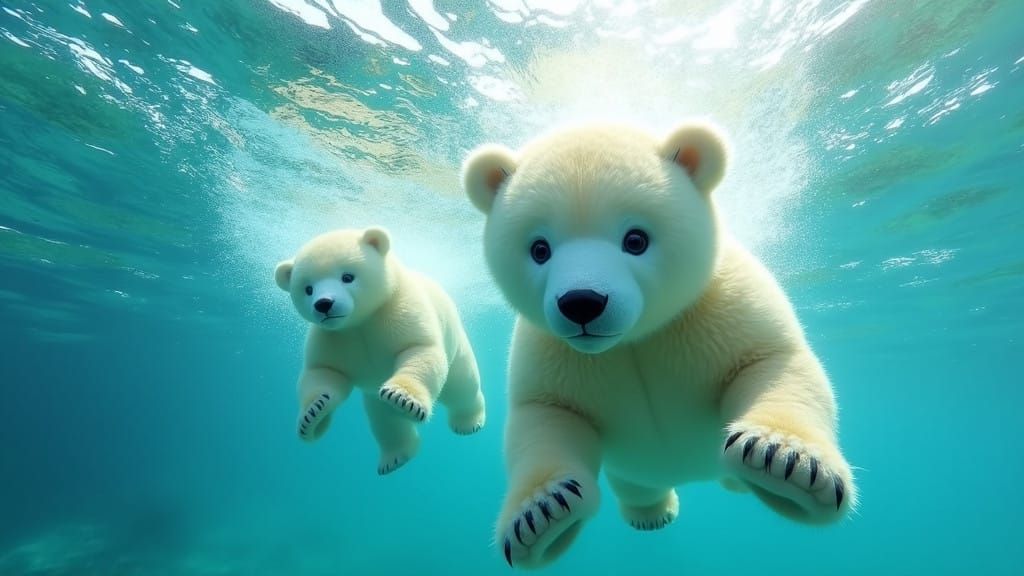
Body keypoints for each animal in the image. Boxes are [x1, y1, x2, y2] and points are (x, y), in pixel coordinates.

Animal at [274, 226, 487, 475]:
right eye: (308, 289)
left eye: (347, 277)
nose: (323, 304)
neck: (362, 320)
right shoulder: (333, 337)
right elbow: (323, 372)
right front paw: (313, 413)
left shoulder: (398, 309)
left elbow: (418, 348)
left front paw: (403, 398)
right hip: (372, 394)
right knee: (385, 421)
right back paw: (395, 457)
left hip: (457, 349)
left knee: (461, 388)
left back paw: (468, 422)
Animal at [461, 120, 857, 569]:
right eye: (539, 249)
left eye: (636, 239)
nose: (582, 302)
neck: (635, 337)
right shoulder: (554, 348)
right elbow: (547, 416)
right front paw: (542, 514)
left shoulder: (718, 304)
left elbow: (770, 363)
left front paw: (785, 459)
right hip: (632, 470)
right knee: (635, 482)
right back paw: (651, 513)